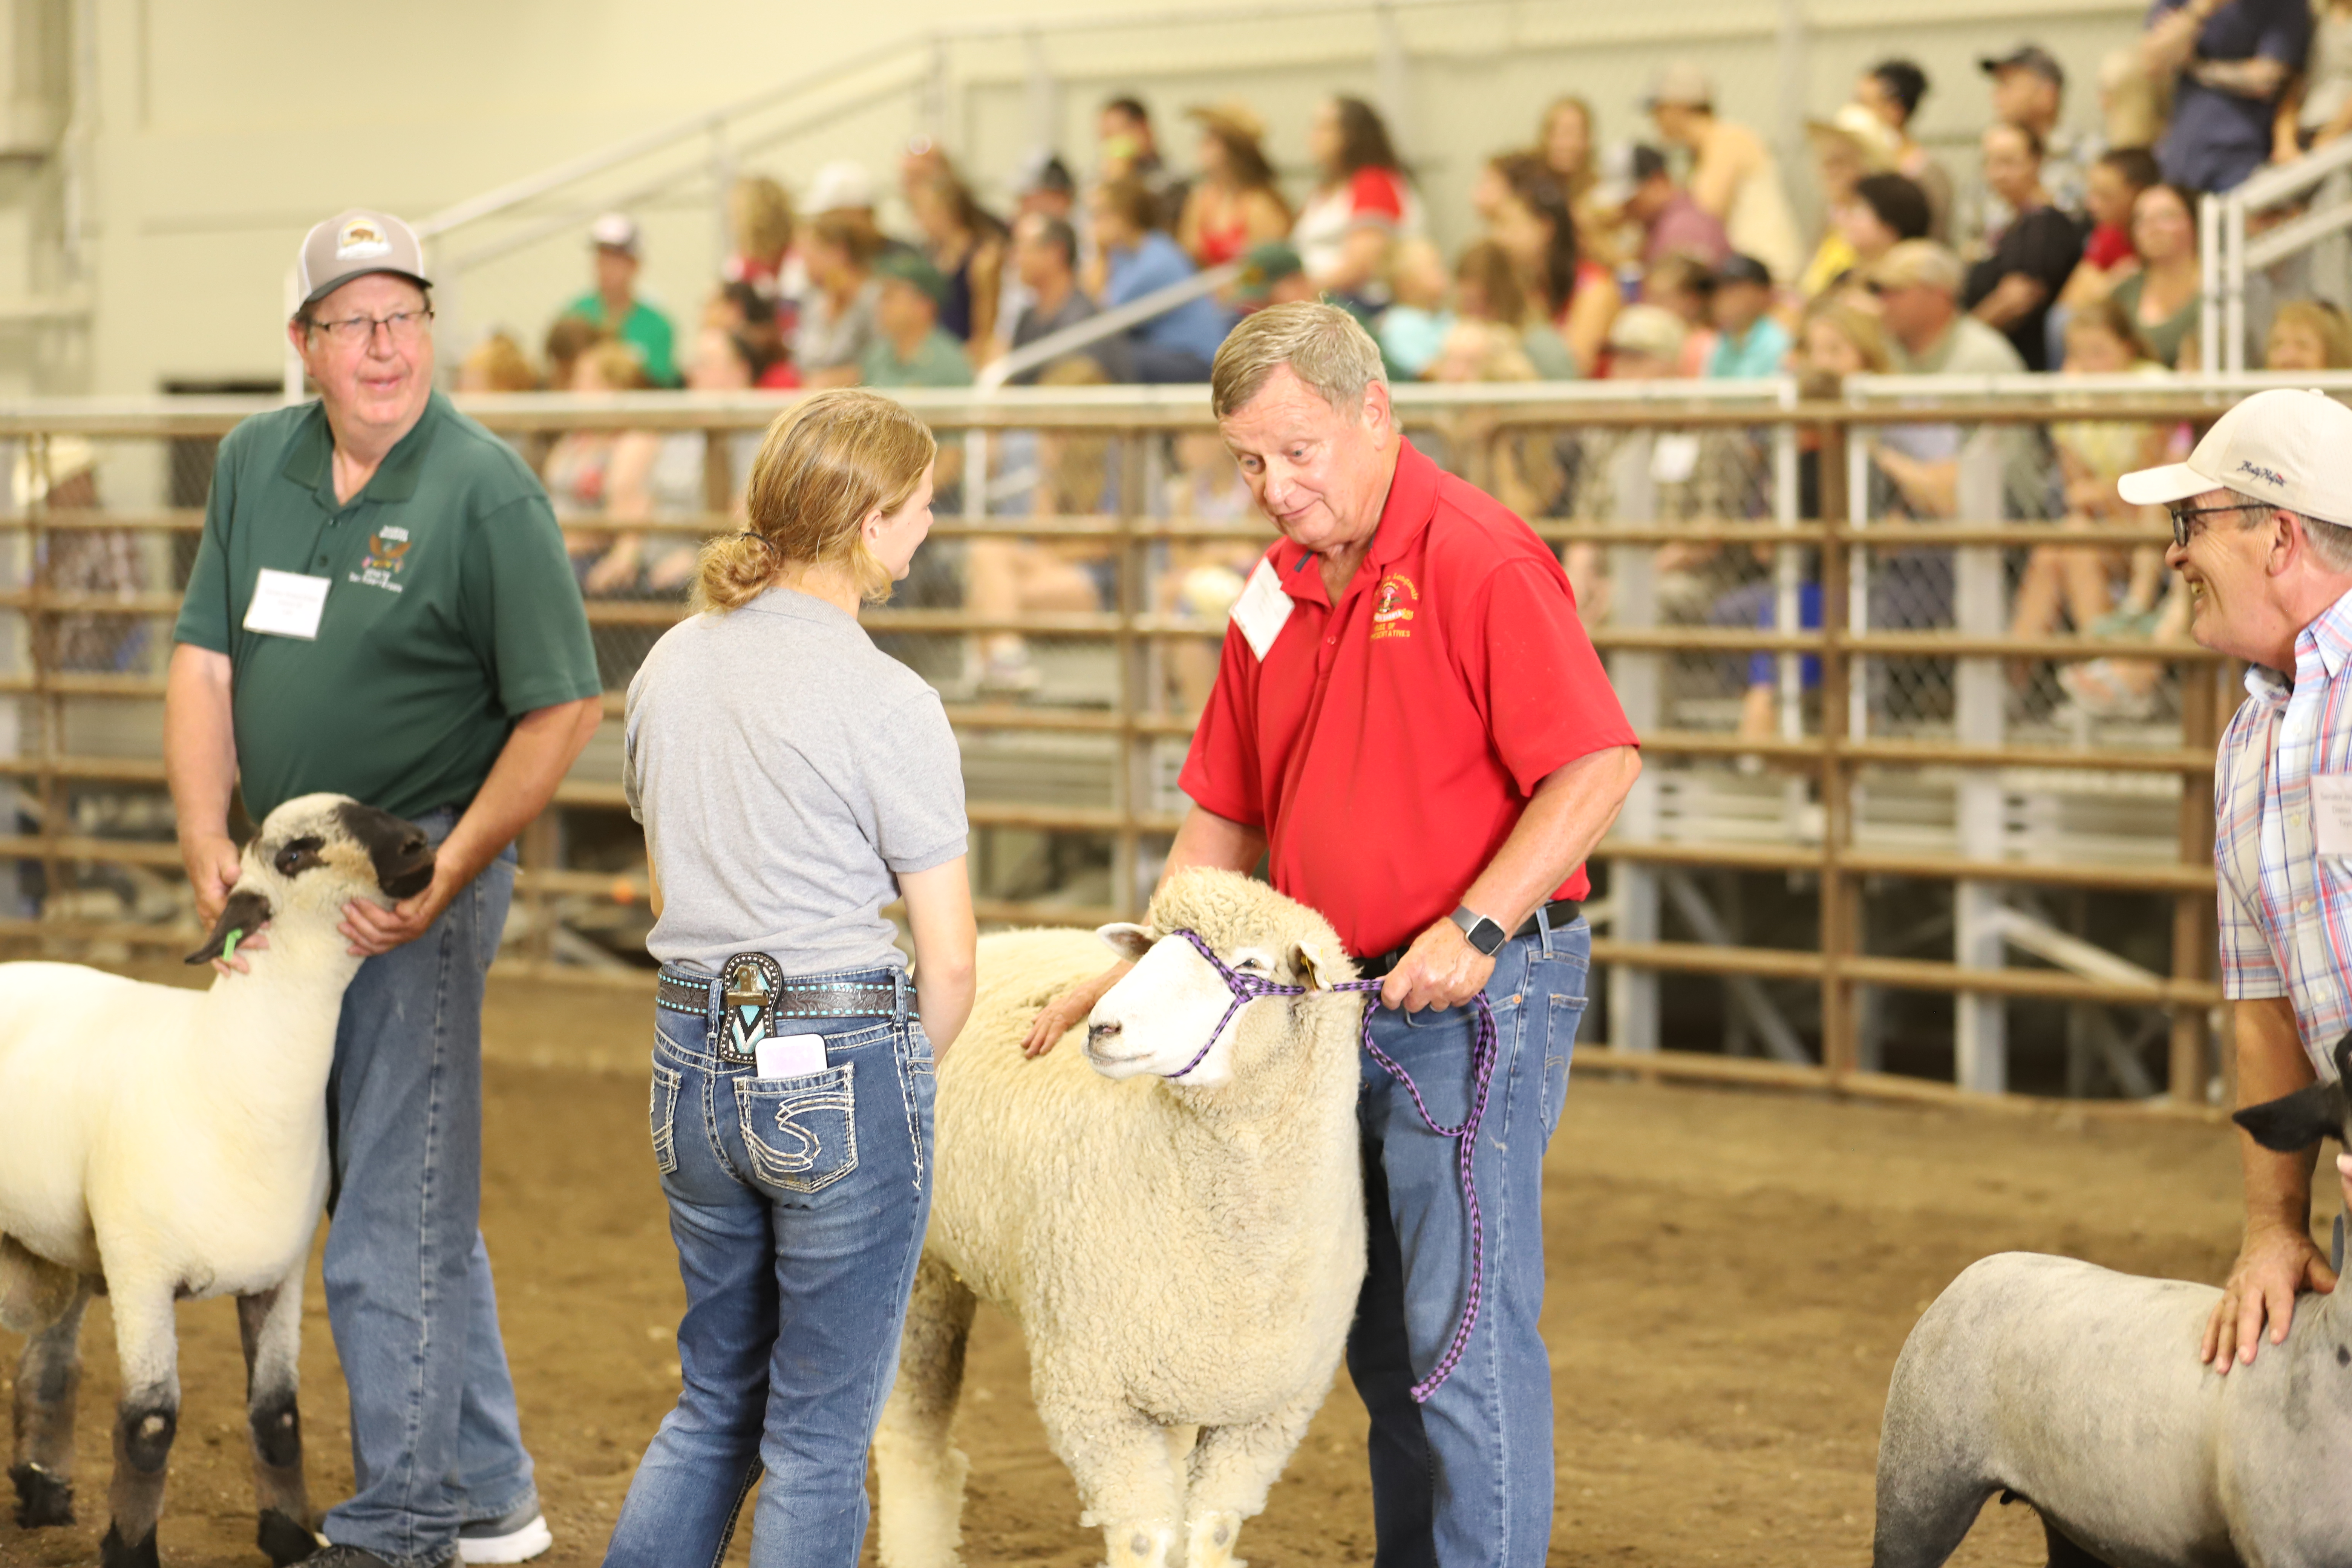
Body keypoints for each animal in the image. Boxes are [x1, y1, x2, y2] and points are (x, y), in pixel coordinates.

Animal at [1, 799, 437, 1568]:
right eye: (294, 854)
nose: (420, 846)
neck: (228, 1070)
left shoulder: (279, 1274)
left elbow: (279, 1416)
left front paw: (291, 1537)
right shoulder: (142, 1274)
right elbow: (149, 1425)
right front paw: (131, 1550)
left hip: (66, 1245)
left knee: (48, 1366)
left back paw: (44, 1494)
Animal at [875, 870, 1374, 1568]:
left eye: (1252, 965)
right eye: (1153, 948)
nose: (1101, 1026)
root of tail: (1008, 935)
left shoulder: (1268, 1412)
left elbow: (1208, 1533)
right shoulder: (1093, 1393)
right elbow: (1144, 1538)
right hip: (925, 1269)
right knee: (915, 1445)